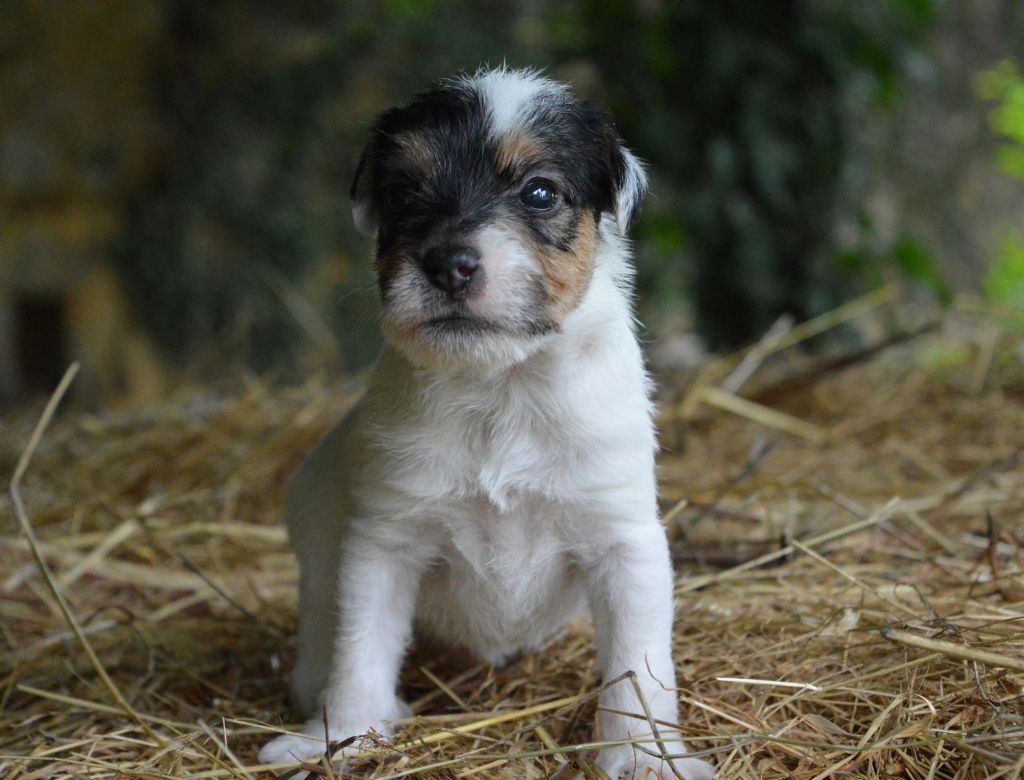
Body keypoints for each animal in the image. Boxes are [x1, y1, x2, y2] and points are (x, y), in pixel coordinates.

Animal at [258, 68, 712, 777]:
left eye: (540, 191)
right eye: (402, 193)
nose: (448, 263)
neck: (503, 388)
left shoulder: (624, 543)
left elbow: (638, 670)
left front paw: (644, 756)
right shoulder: (384, 543)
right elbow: (360, 649)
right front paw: (347, 736)